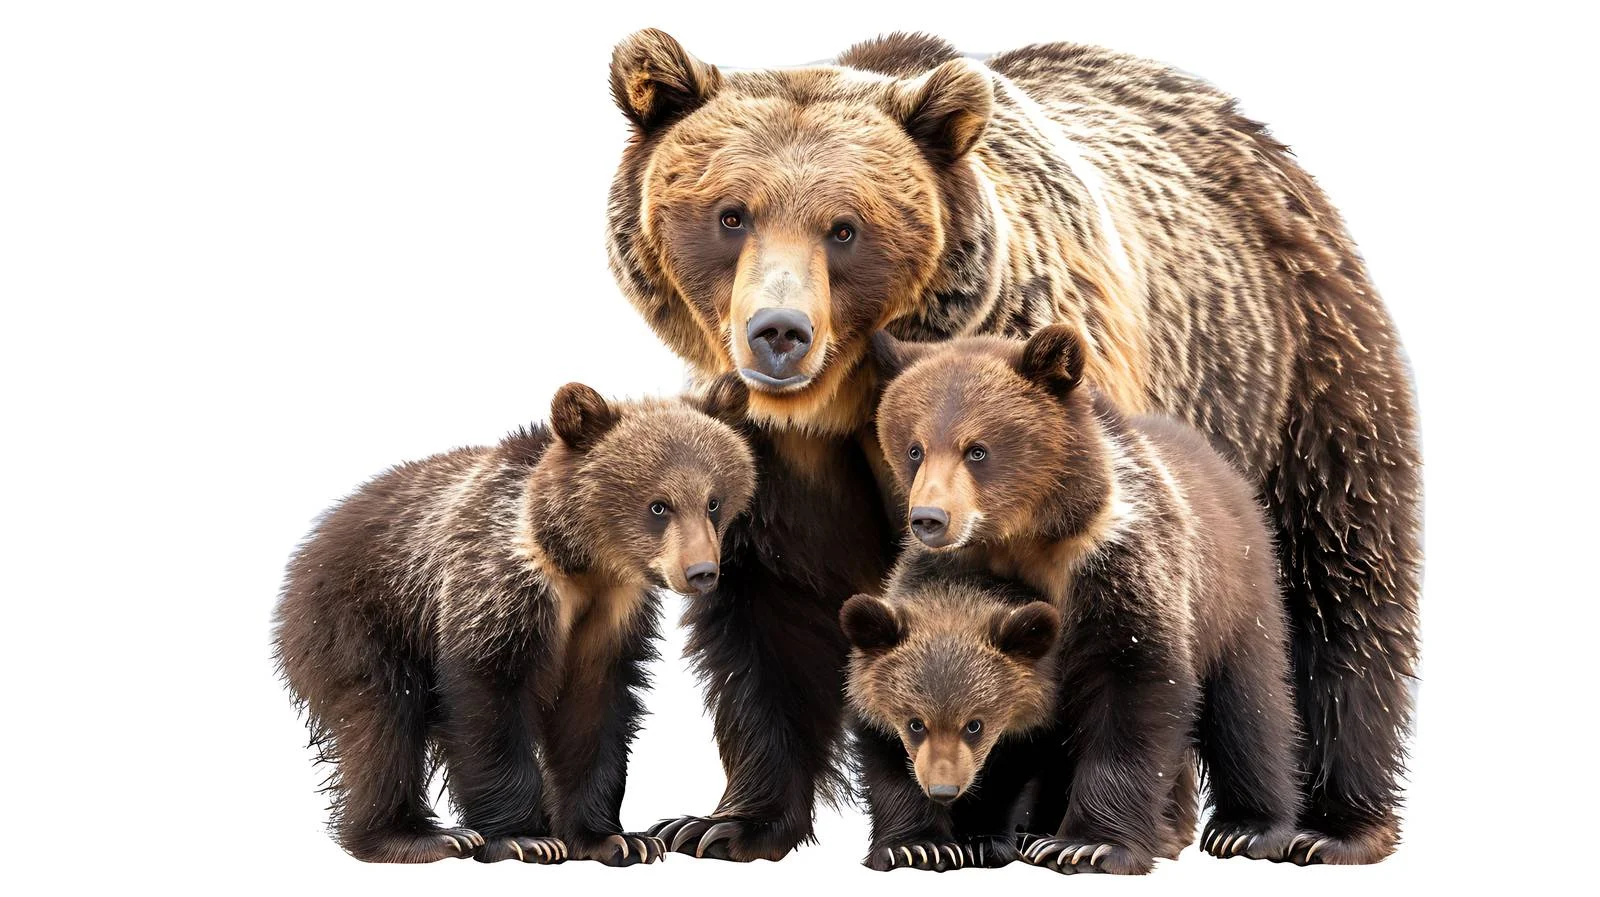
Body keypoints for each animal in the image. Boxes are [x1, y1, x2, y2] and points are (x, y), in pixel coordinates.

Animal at [272, 376, 756, 864]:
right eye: (659, 506)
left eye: (713, 502)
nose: (702, 572)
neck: (580, 564)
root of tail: (311, 542)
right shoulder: (496, 586)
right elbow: (489, 696)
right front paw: (524, 838)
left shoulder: (611, 617)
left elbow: (593, 712)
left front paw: (616, 838)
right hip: (359, 618)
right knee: (382, 720)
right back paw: (417, 836)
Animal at [841, 575, 1062, 872]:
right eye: (916, 724)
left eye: (974, 725)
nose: (943, 790)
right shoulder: (878, 725)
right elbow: (890, 776)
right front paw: (919, 848)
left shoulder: (1029, 729)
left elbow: (1010, 779)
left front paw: (983, 843)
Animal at [868, 323, 1303, 873]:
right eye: (914, 449)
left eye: (977, 450)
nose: (929, 518)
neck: (1028, 540)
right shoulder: (951, 574)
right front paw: (934, 839)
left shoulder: (1119, 564)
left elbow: (1132, 682)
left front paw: (1088, 844)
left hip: (1234, 593)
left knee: (1249, 704)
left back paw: (1245, 829)